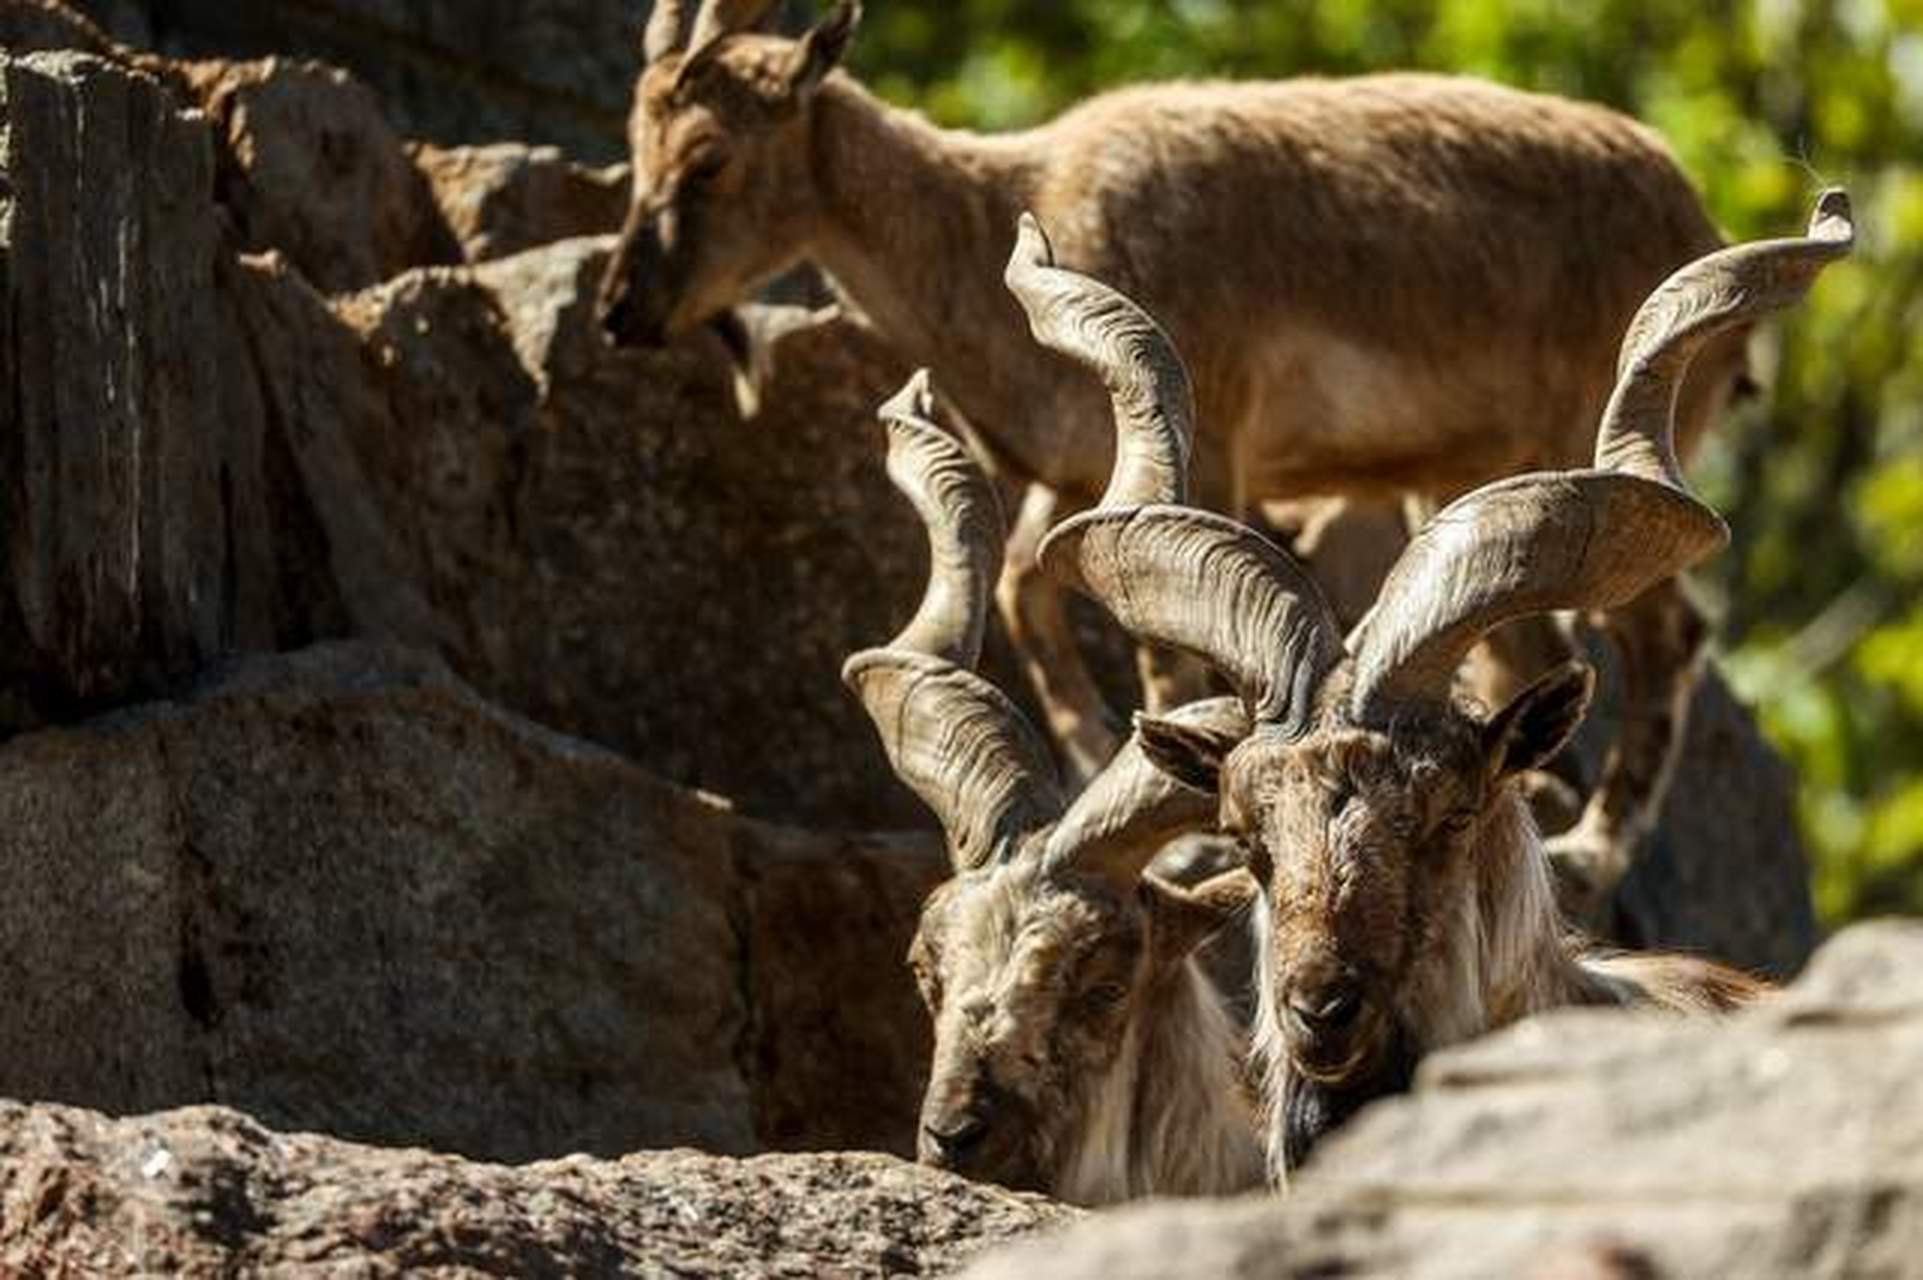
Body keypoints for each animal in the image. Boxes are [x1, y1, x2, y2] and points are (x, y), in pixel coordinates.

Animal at [603, 0, 1769, 918]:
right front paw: (1098, 766)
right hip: (1455, 472)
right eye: (636, 144)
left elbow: (1160, 649)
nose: (622, 311)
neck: (996, 229)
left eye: (710, 158)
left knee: (1670, 632)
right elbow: (1028, 589)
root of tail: (1691, 206)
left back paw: (1595, 844)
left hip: (1597, 448)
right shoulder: (1082, 478)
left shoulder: (1205, 456)